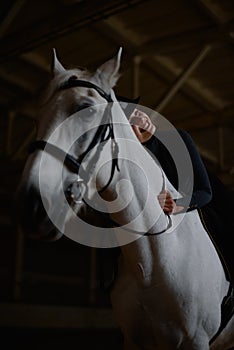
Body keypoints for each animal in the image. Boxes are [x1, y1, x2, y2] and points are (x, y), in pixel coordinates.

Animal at [17, 47, 234, 348]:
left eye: (86, 109)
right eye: (37, 120)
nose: (31, 206)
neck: (151, 263)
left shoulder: (196, 341)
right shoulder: (133, 339)